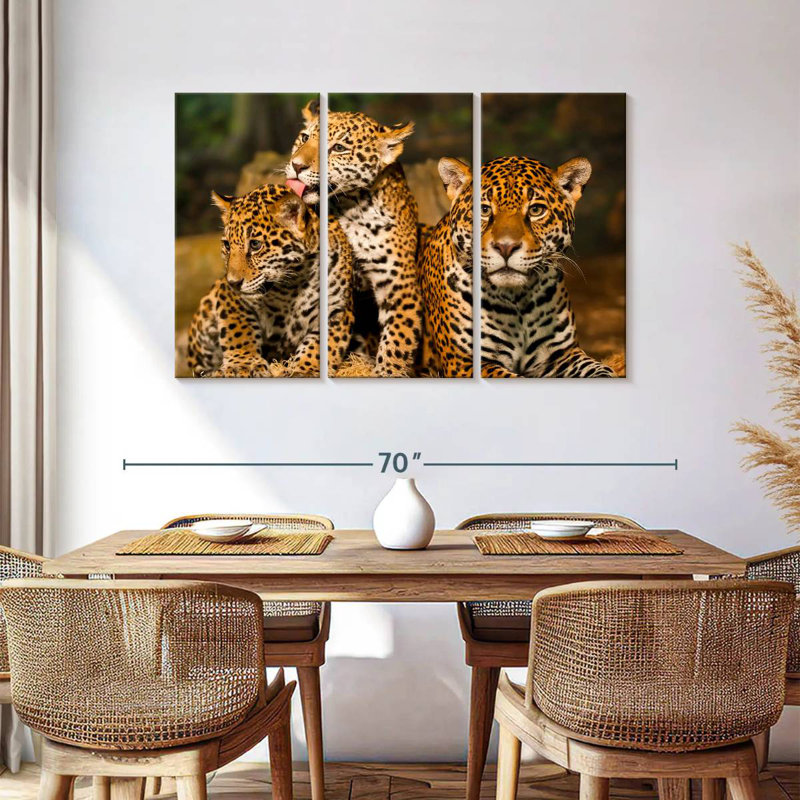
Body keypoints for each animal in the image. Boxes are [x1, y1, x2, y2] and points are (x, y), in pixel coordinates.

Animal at [187, 182, 354, 378]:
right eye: (227, 245)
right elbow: (239, 330)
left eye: (255, 245)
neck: (292, 284)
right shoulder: (229, 296)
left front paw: (305, 369)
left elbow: (320, 345)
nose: (233, 282)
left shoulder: (336, 309)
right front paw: (242, 364)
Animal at [286, 100, 423, 377]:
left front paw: (386, 372)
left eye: (338, 148)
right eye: (304, 138)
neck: (351, 207)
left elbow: (397, 343)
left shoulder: (401, 289)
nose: (296, 166)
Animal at [479, 156, 616, 378]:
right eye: (484, 210)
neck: (518, 299)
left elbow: (599, 369)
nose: (505, 247)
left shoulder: (562, 355)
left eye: (536, 210)